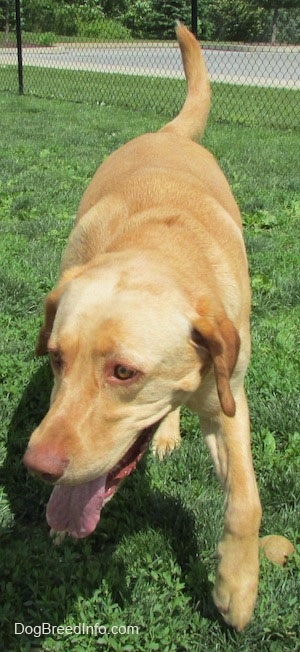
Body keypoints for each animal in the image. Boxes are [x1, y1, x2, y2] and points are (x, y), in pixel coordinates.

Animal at [23, 25, 262, 632]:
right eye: (55, 359)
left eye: (124, 372)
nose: (37, 467)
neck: (158, 243)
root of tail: (168, 133)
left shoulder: (229, 397)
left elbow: (246, 499)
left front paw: (236, 587)